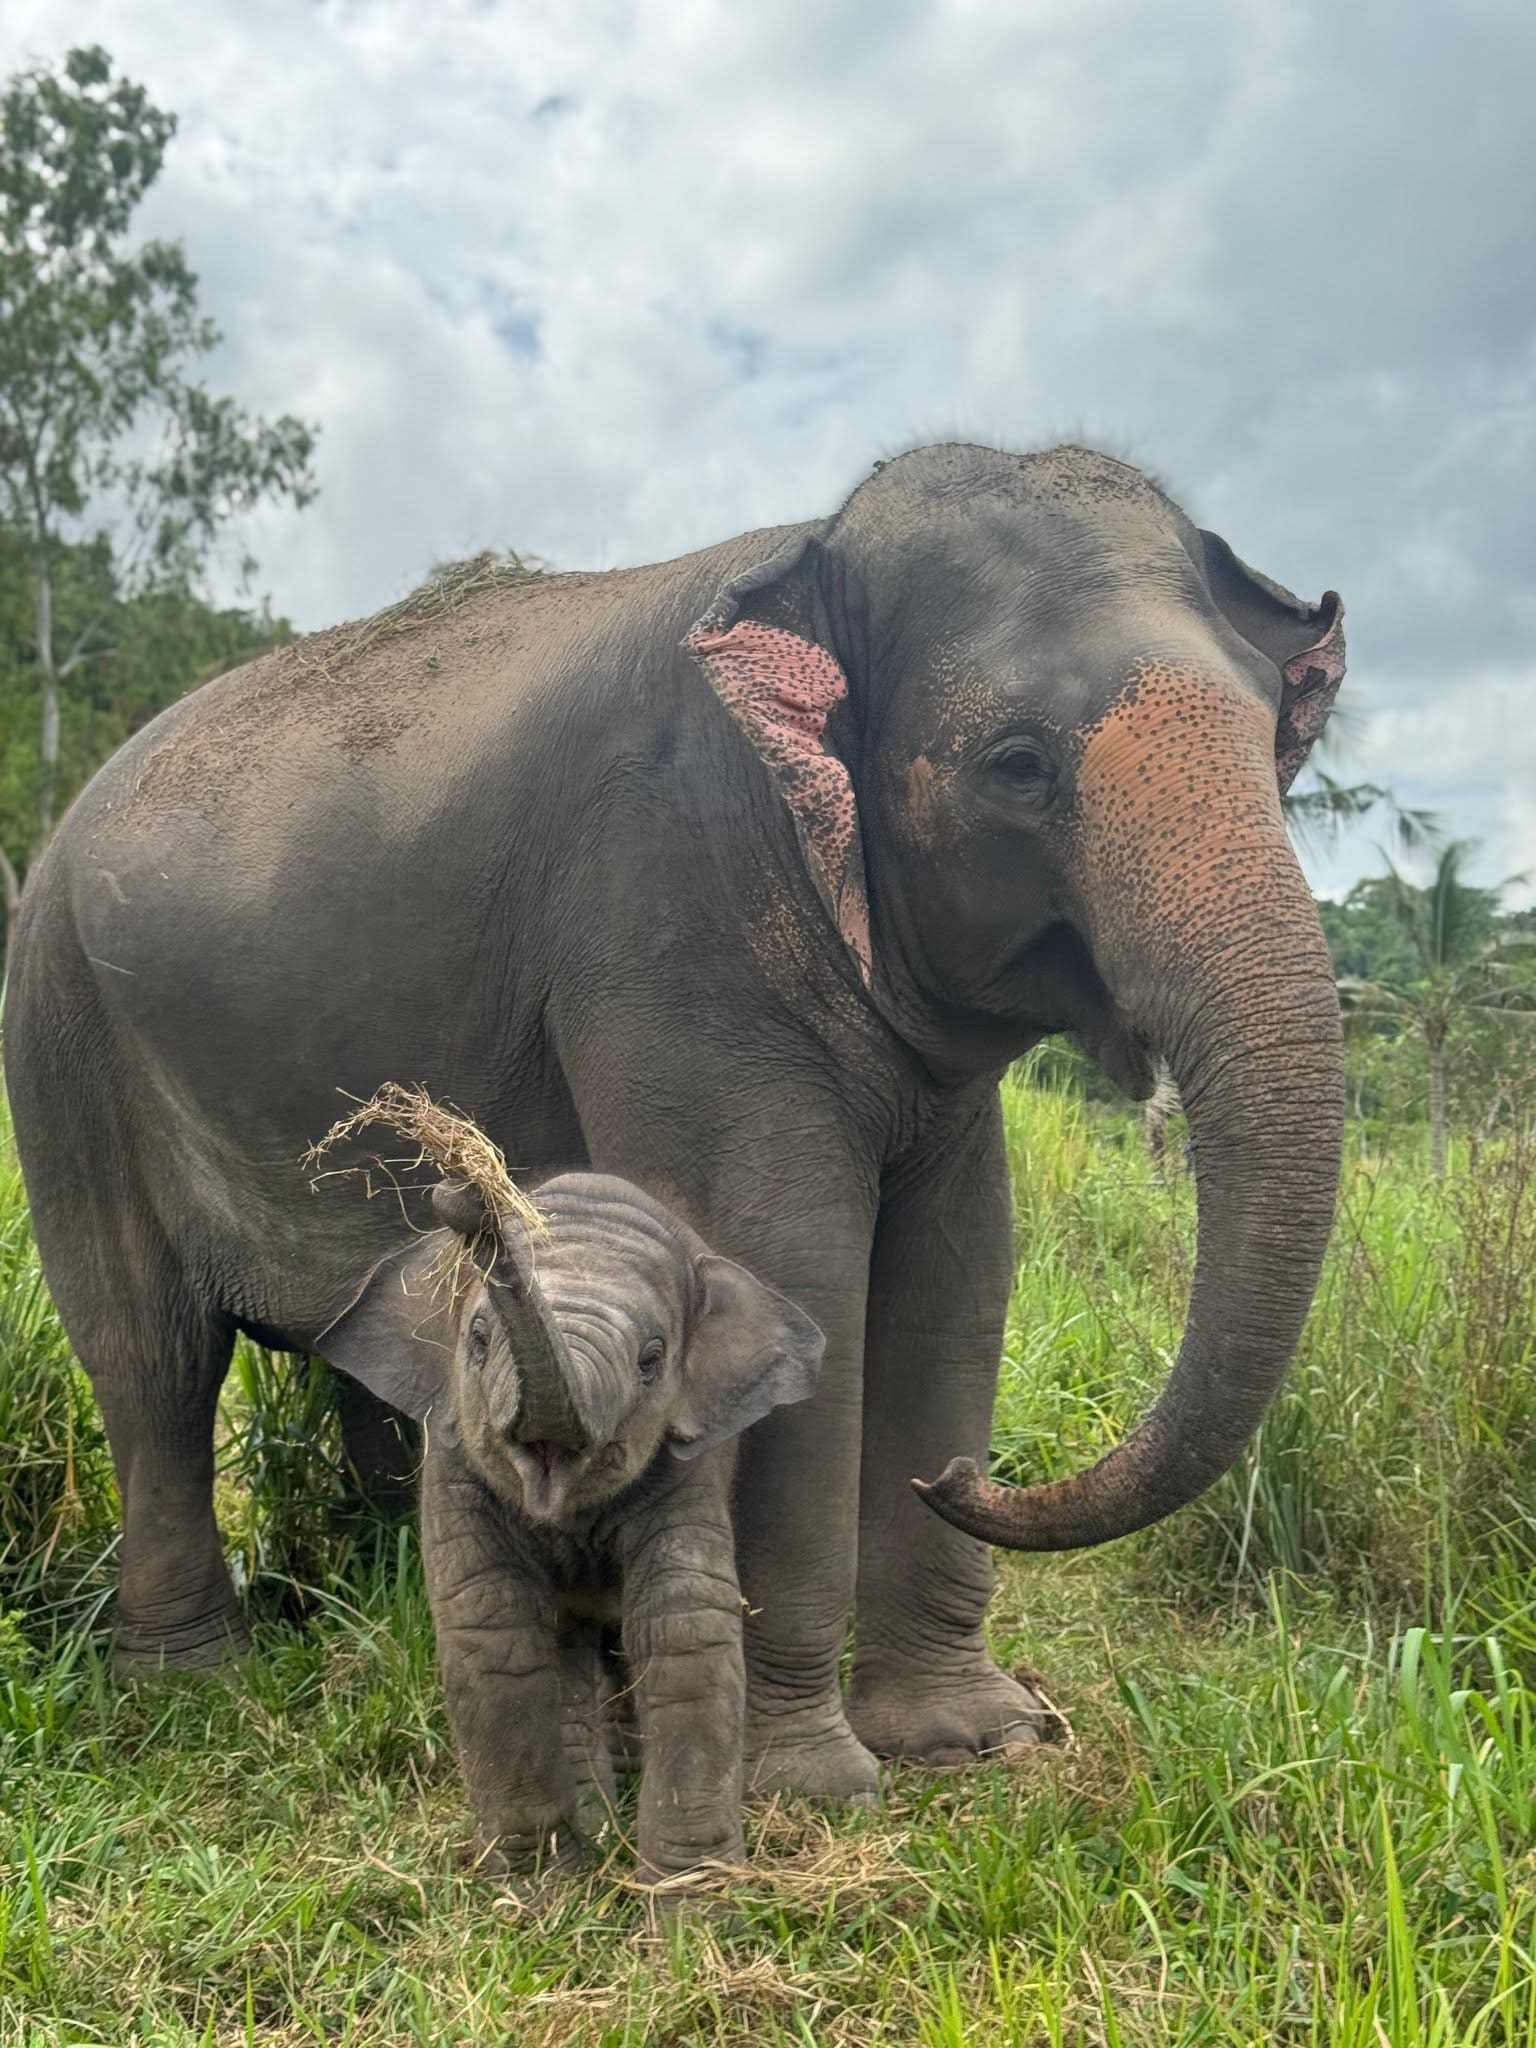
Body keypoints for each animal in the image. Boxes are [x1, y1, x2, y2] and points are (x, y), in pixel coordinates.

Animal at [3, 440, 1347, 1804]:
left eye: (1269, 738)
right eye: (1018, 763)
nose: (966, 1477)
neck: (807, 554)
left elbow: (959, 1272)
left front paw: (974, 1739)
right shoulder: (668, 914)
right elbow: (791, 1259)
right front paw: (802, 1782)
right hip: (61, 1040)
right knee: (153, 1356)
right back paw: (193, 1684)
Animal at [320, 1164, 824, 1882]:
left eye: (651, 1359)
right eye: (477, 1340)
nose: (464, 1197)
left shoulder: (684, 1469)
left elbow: (684, 1626)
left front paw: (695, 1903)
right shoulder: (452, 1458)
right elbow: (492, 1629)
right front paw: (537, 1892)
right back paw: (594, 1826)